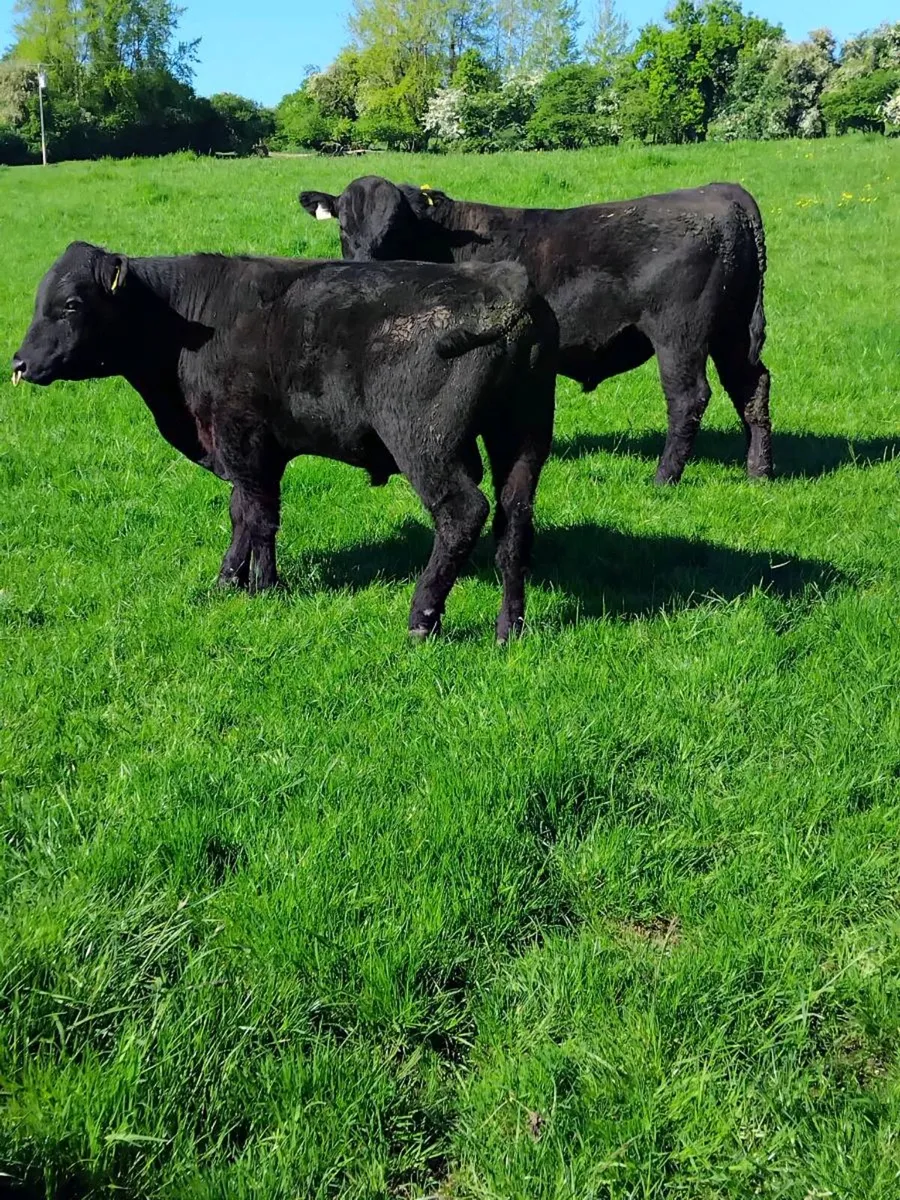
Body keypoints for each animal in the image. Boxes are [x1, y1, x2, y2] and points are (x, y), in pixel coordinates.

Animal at [11, 242, 558, 641]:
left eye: (71, 305)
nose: (18, 362)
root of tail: (501, 281)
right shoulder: (253, 450)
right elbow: (245, 512)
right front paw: (230, 580)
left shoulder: (242, 437)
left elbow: (258, 514)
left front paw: (263, 585)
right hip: (523, 436)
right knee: (513, 521)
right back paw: (509, 628)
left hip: (426, 444)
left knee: (463, 513)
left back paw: (421, 619)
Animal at [300, 176, 773, 485]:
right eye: (344, 226)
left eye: (394, 227)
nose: (364, 264)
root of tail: (720, 191)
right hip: (731, 332)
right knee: (751, 388)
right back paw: (759, 471)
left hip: (680, 334)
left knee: (689, 397)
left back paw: (664, 476)